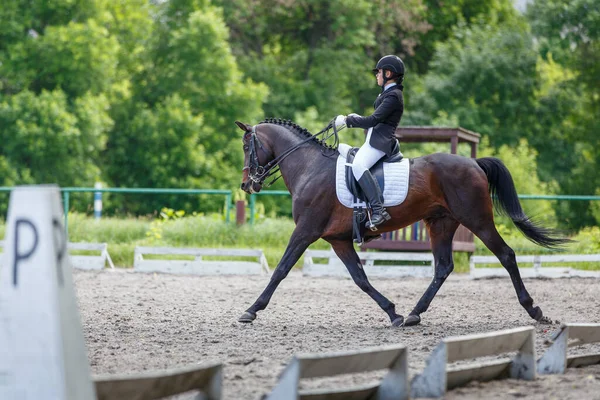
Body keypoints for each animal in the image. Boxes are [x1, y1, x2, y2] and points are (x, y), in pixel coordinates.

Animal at [233, 118, 568, 324]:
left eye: (247, 146)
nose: (247, 184)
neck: (310, 168)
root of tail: (474, 163)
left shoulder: (305, 231)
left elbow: (281, 270)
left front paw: (251, 310)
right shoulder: (338, 239)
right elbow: (360, 278)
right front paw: (392, 312)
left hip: (478, 220)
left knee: (506, 255)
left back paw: (534, 309)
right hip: (440, 224)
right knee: (443, 267)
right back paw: (413, 314)